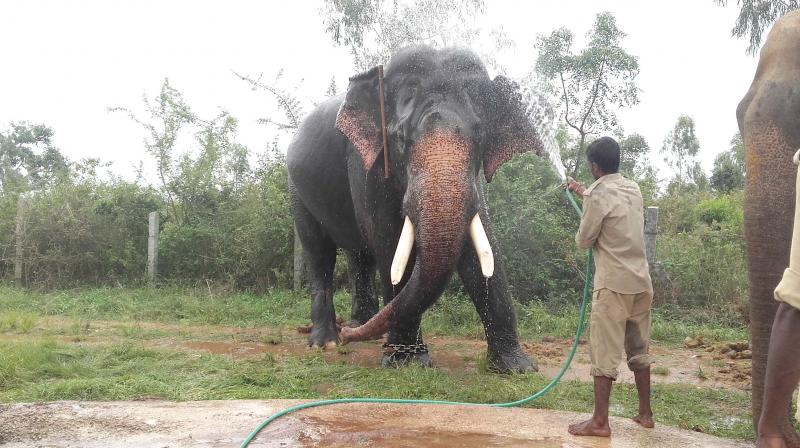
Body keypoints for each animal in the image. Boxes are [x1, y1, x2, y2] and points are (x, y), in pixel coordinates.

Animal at [288, 46, 544, 374]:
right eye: (400, 139)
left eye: (480, 137)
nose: (347, 337)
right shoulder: (365, 164)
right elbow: (389, 242)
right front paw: (406, 362)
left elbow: (483, 246)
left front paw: (517, 368)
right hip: (296, 190)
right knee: (319, 253)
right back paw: (326, 342)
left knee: (359, 256)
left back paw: (362, 329)